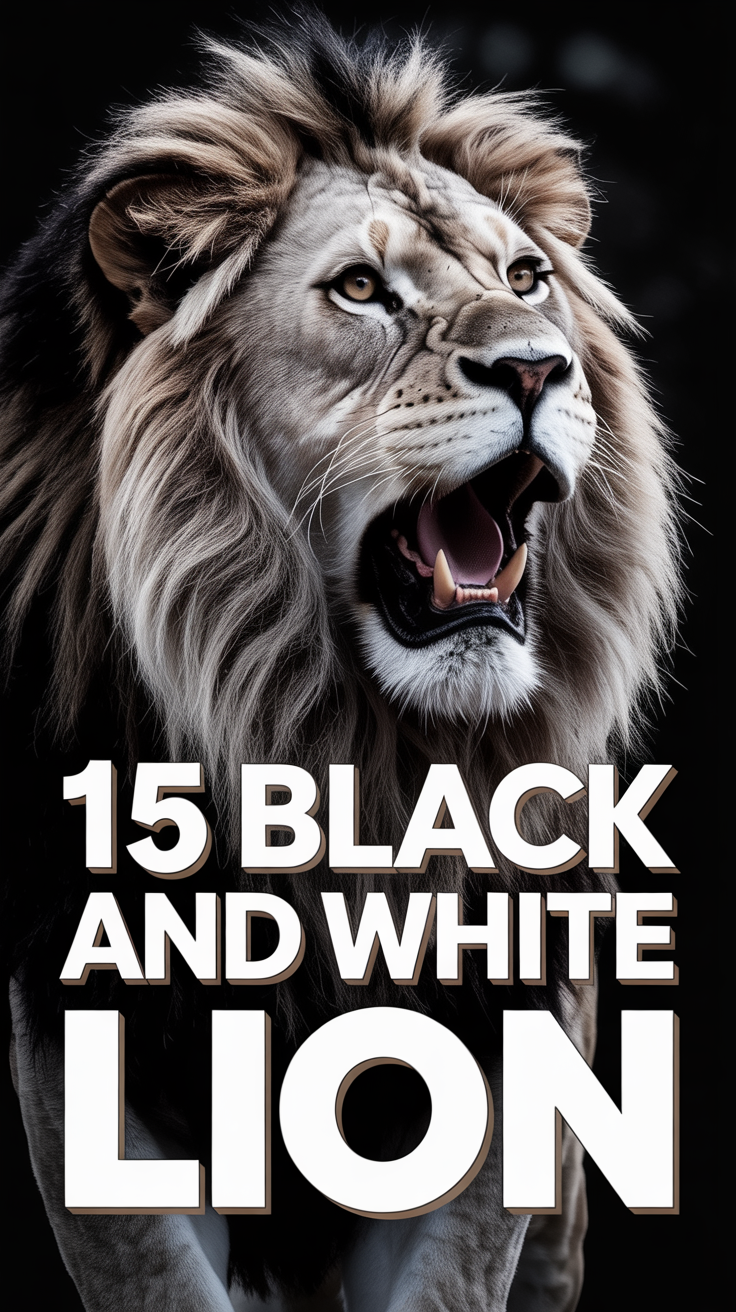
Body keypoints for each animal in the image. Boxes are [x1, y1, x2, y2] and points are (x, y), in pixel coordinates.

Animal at [0, 14, 679, 1312]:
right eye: (362, 290)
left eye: (526, 280)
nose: (537, 368)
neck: (344, 751)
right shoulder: (83, 1028)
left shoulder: (502, 1021)